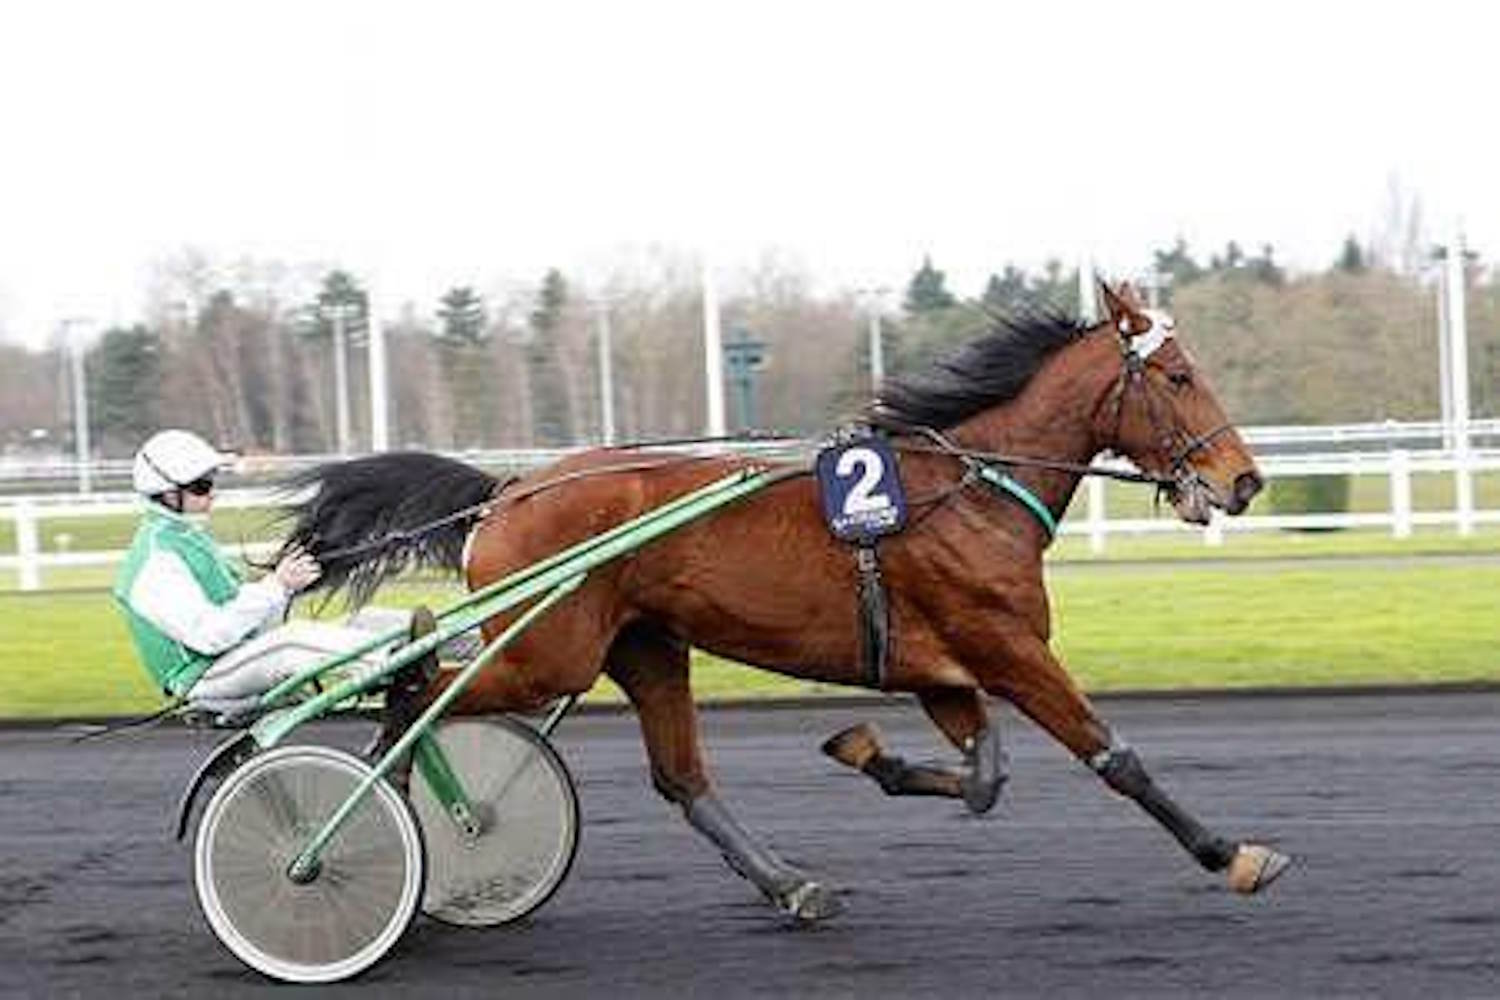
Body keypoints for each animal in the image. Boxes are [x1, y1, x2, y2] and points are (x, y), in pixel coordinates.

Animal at [277, 282, 1288, 921]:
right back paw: (371, 836)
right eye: (1178, 377)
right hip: (545, 654)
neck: (972, 489)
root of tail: (508, 488)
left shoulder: (945, 670)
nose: (1243, 480)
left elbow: (984, 778)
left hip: (645, 647)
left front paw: (869, 751)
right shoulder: (1008, 649)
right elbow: (1114, 758)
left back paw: (789, 884)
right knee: (414, 695)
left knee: (682, 778)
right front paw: (1232, 854)